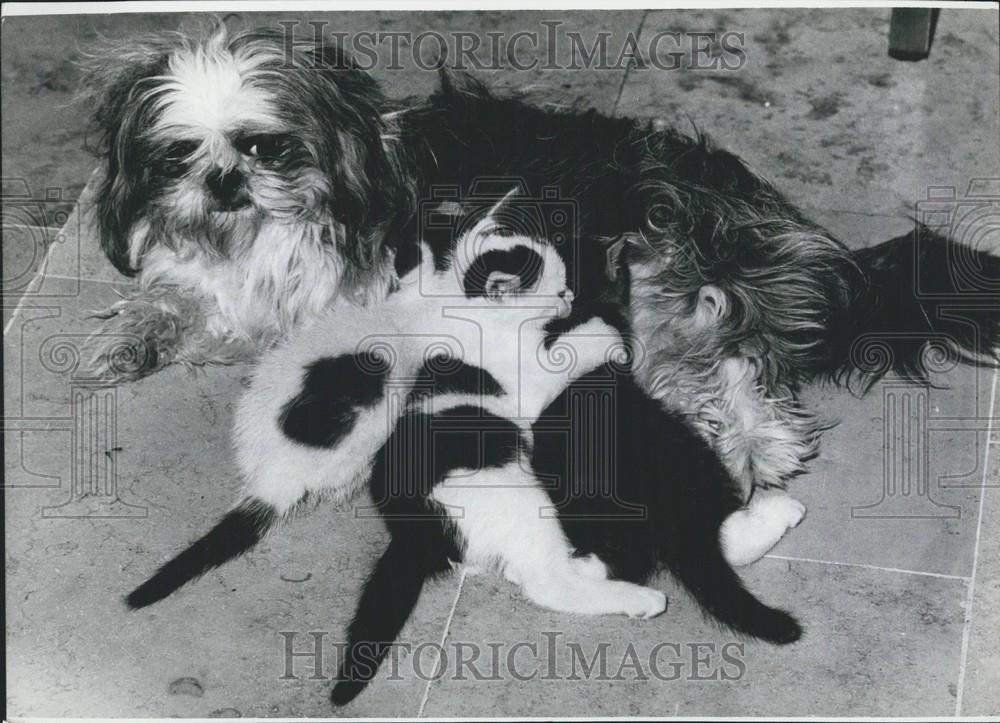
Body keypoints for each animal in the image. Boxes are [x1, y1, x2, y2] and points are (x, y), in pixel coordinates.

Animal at [80, 19, 1000, 504]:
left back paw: (755, 449)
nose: (225, 181)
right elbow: (179, 300)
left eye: (265, 145)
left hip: (657, 265)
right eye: (179, 154)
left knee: (737, 360)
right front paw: (128, 340)